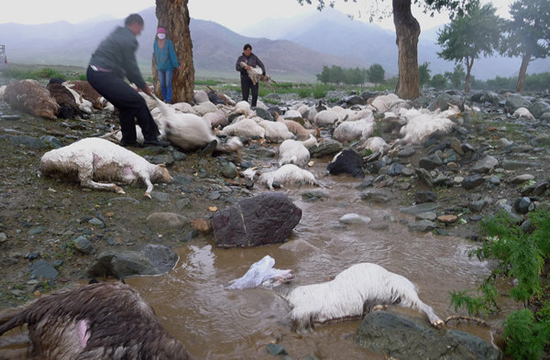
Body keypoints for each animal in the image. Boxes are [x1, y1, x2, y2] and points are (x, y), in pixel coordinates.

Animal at [38, 137, 171, 198]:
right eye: (166, 169)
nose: (172, 179)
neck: (151, 169)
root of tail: (43, 164)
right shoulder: (142, 170)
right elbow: (150, 184)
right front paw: (147, 194)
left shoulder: (130, 177)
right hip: (84, 161)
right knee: (86, 183)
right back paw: (115, 188)